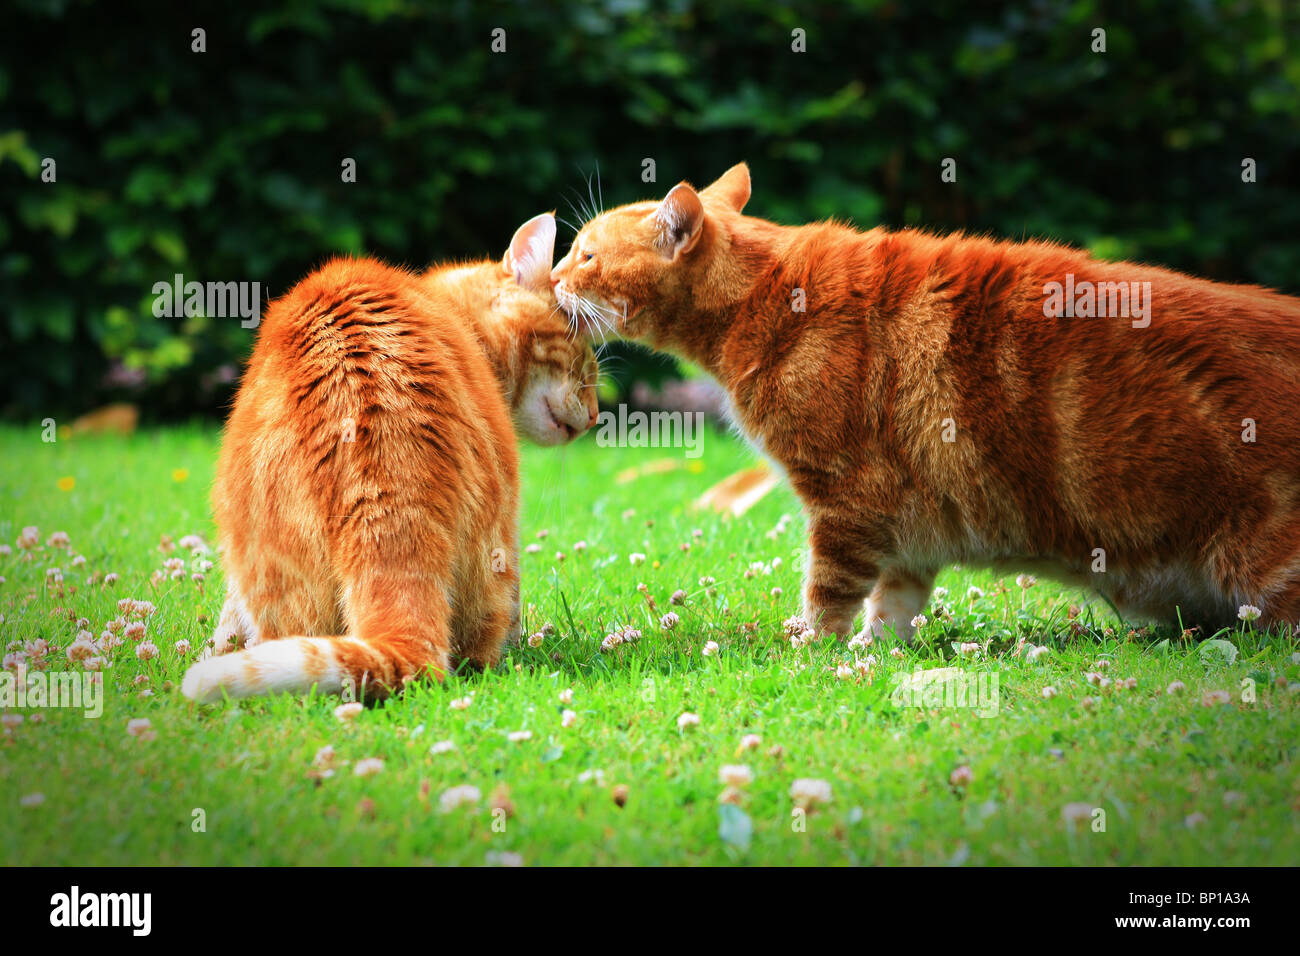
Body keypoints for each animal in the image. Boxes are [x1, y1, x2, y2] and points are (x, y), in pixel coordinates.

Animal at [553, 164, 1300, 642]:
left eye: (586, 255)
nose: (554, 276)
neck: (758, 297)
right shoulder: (910, 515)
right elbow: (894, 601)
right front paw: (871, 653)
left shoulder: (847, 501)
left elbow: (828, 592)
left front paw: (810, 648)